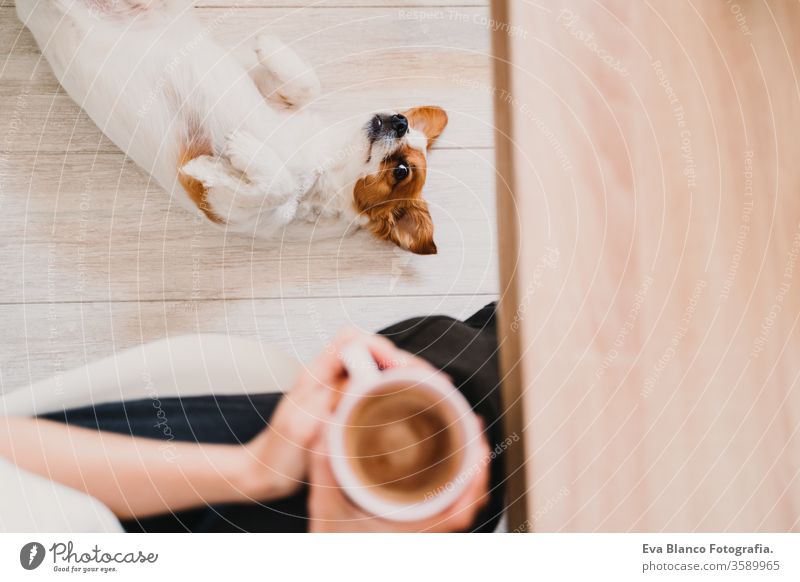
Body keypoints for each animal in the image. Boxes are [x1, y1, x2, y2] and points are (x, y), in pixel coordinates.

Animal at [17, 0, 450, 256]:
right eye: (405, 119)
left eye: (401, 171)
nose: (400, 120)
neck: (320, 159)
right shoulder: (270, 93)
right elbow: (308, 84)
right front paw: (267, 43)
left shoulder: (221, 208)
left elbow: (276, 189)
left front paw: (228, 157)